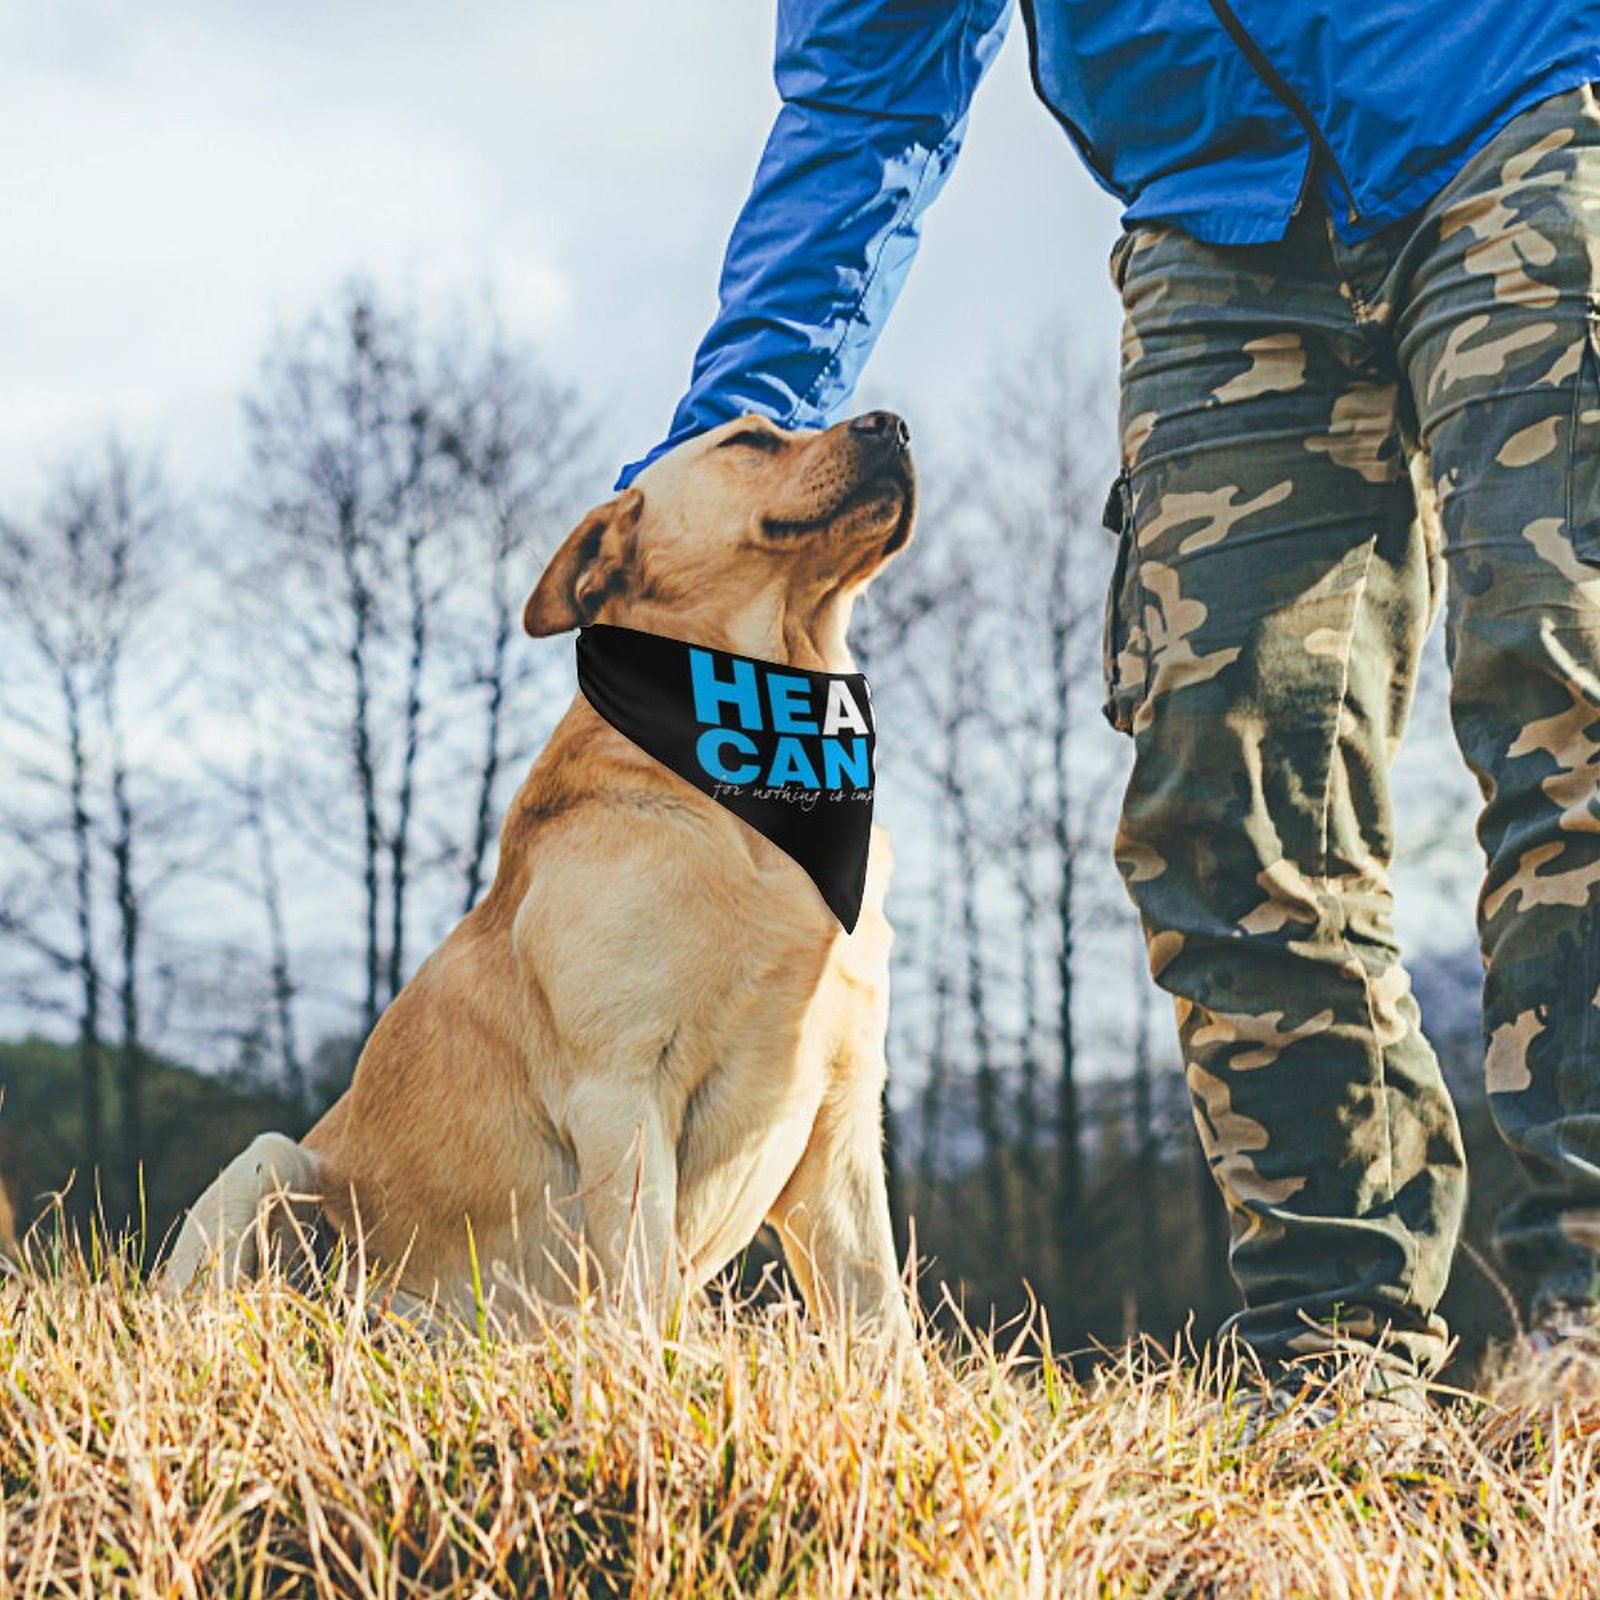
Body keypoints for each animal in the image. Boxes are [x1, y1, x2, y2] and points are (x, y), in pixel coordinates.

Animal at [164, 409, 921, 1337]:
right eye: (748, 440)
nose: (894, 425)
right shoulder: (621, 1088)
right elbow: (645, 1291)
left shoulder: (842, 1110)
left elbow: (883, 1320)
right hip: (271, 1165)